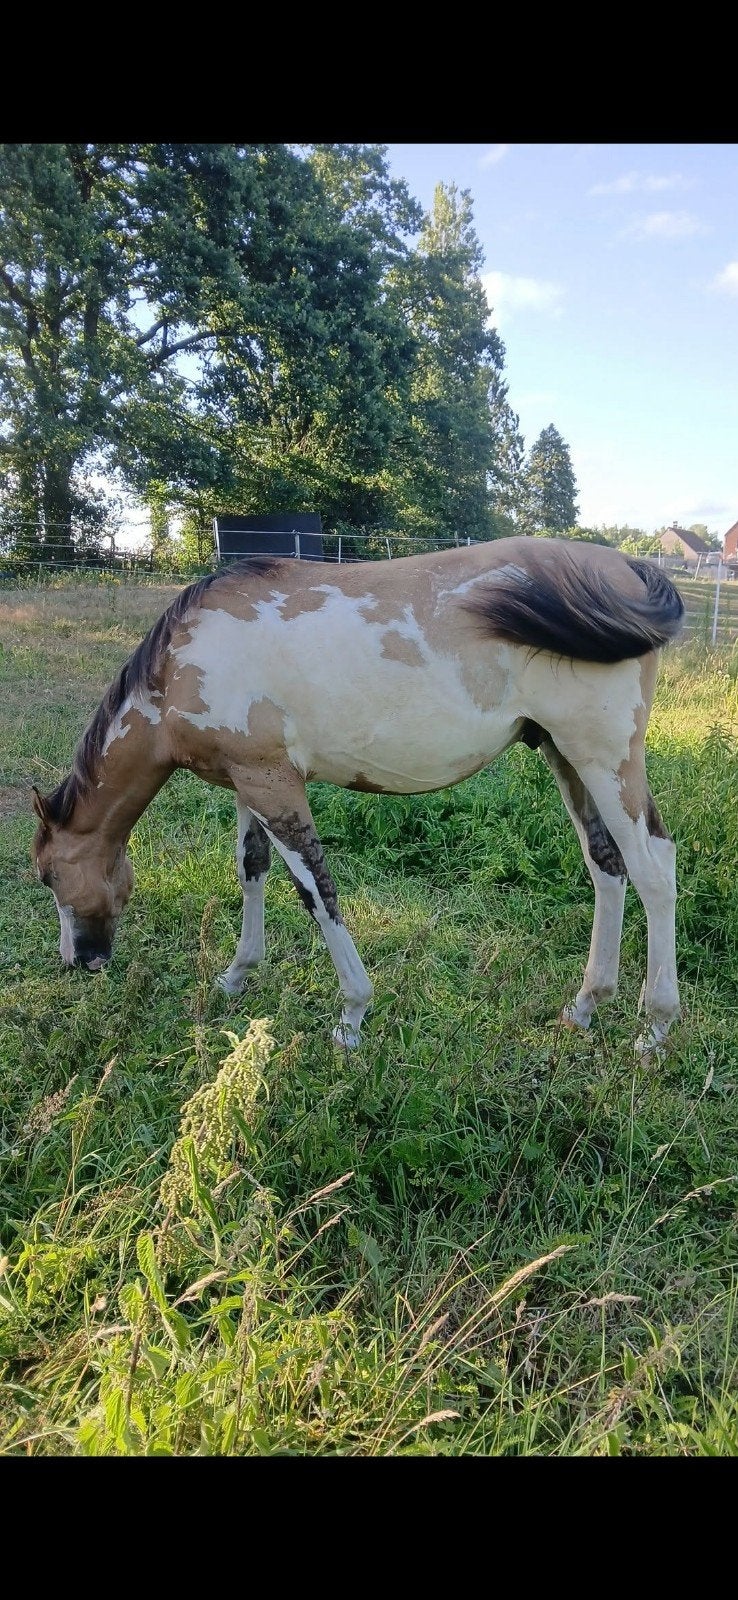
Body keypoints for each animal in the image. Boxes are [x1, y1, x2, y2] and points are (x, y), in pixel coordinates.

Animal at [31, 537, 684, 1056]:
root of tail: (625, 569)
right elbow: (251, 870)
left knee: (654, 870)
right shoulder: (248, 779)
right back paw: (587, 1005)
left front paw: (352, 1014)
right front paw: (237, 975)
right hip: (566, 756)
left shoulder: (274, 784)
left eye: (49, 876)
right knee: (607, 866)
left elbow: (316, 891)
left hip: (603, 760)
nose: (78, 960)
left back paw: (655, 1029)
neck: (181, 666)